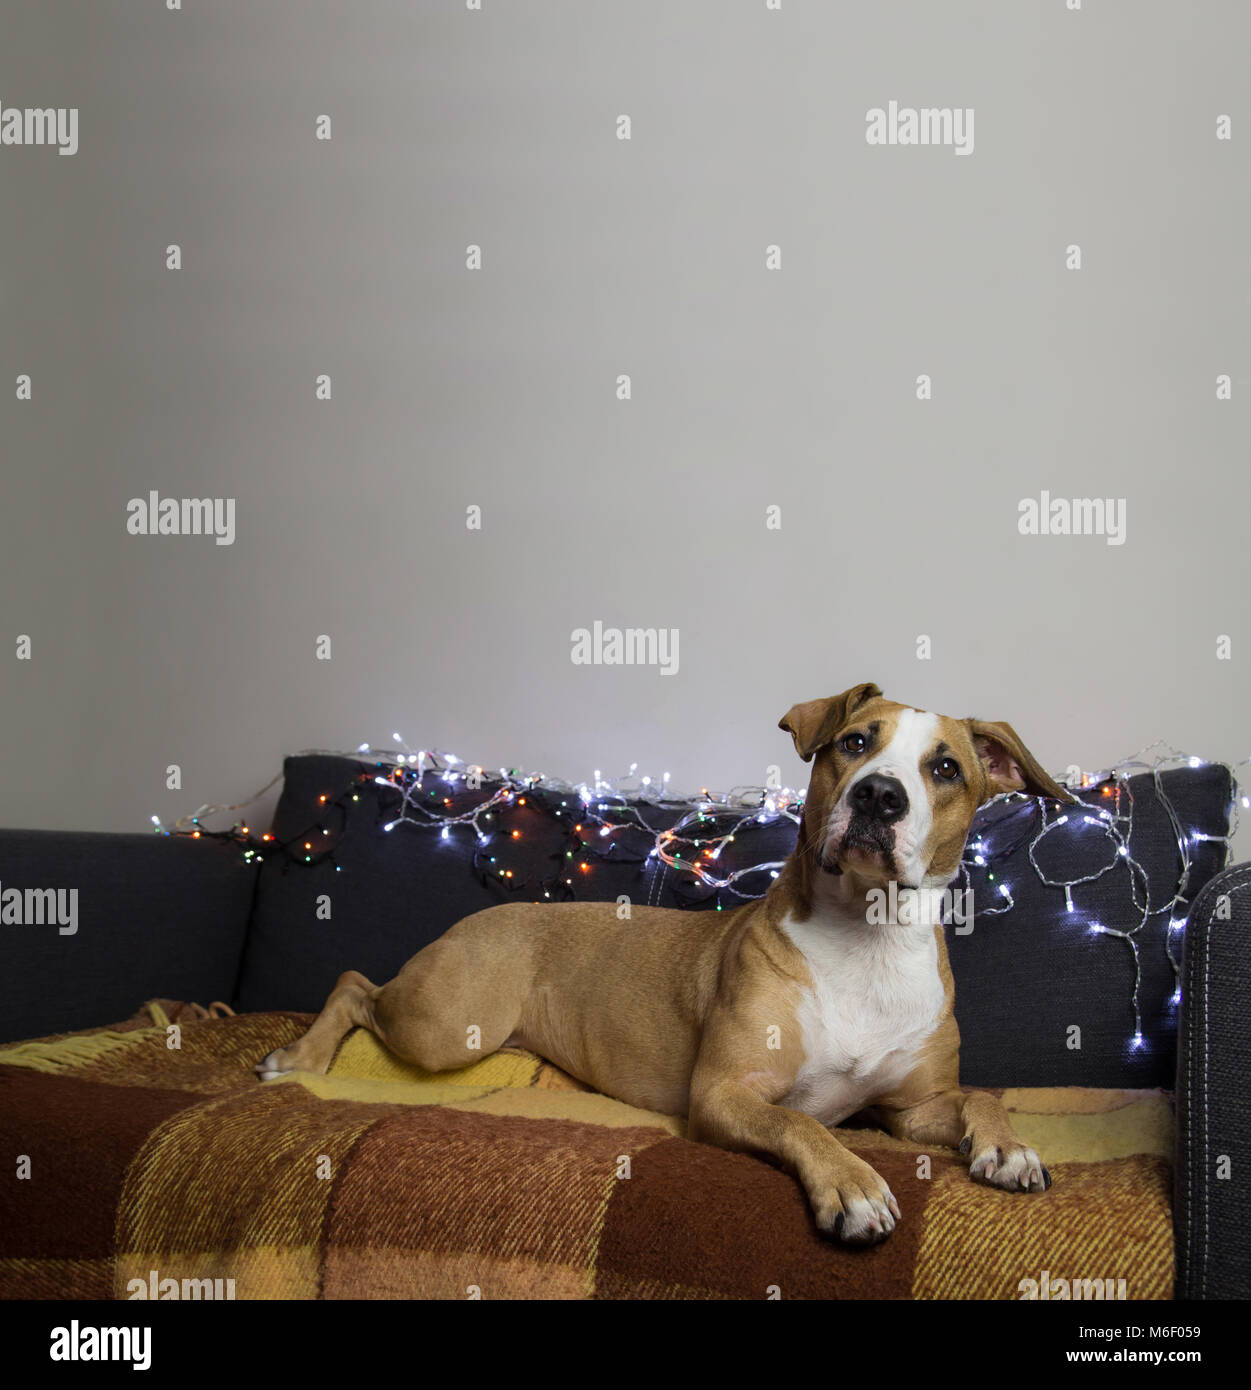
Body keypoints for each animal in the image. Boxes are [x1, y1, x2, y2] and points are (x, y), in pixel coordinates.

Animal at [257, 689, 1073, 1245]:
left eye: (946, 768)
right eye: (853, 742)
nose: (878, 794)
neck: (864, 939)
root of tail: (481, 915)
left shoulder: (906, 1110)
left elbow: (977, 1096)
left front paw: (1006, 1147)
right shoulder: (723, 1093)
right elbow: (800, 1122)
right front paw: (851, 1182)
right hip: (448, 1025)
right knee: (354, 985)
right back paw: (297, 1056)